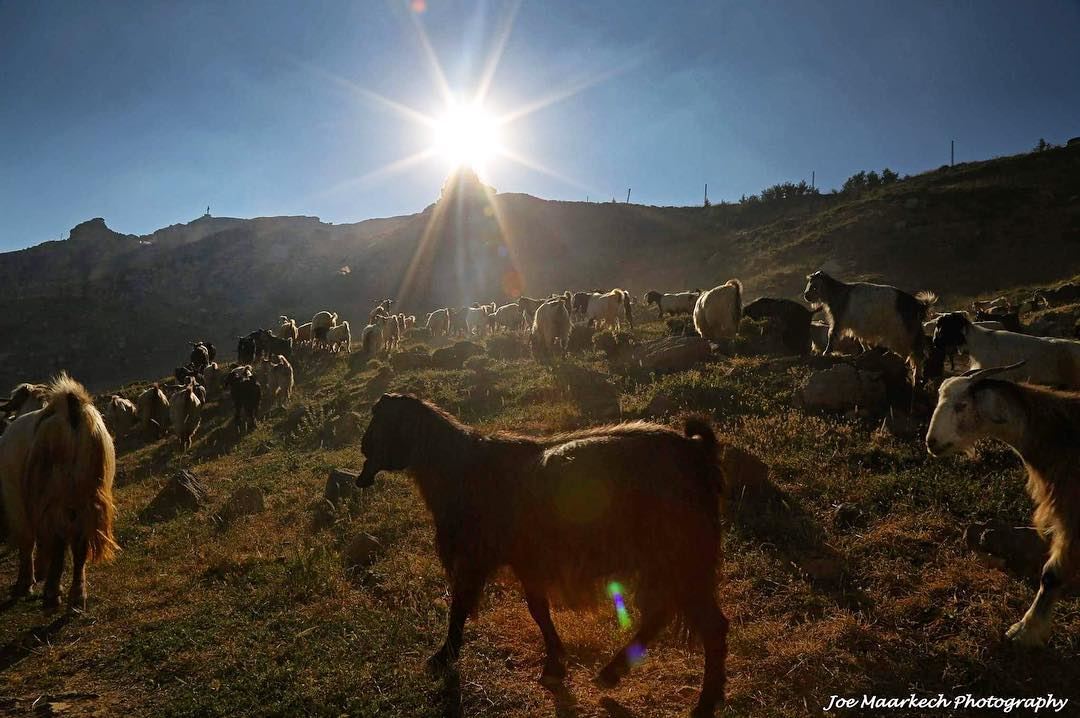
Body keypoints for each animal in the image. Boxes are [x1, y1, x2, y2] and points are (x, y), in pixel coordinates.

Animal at [0, 371, 117, 608]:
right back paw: (77, 595)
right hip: (87, 496)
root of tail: (70, 408)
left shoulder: (17, 501)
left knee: (58, 540)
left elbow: (27, 542)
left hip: (53, 498)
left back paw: (53, 593)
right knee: (79, 544)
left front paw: (25, 584)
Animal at [358, 395, 730, 712]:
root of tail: (697, 451)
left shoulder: (478, 557)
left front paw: (443, 655)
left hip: (682, 553)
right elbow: (537, 609)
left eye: (378, 425)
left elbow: (462, 604)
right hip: (667, 559)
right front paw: (555, 661)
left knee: (710, 625)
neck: (460, 467)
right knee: (662, 614)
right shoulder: (525, 561)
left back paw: (704, 703)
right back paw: (611, 673)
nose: (362, 450)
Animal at [924, 364, 1080, 643]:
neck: (1060, 434)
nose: (931, 442)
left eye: (962, 405)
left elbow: (1051, 574)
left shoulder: (1071, 516)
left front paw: (1025, 629)